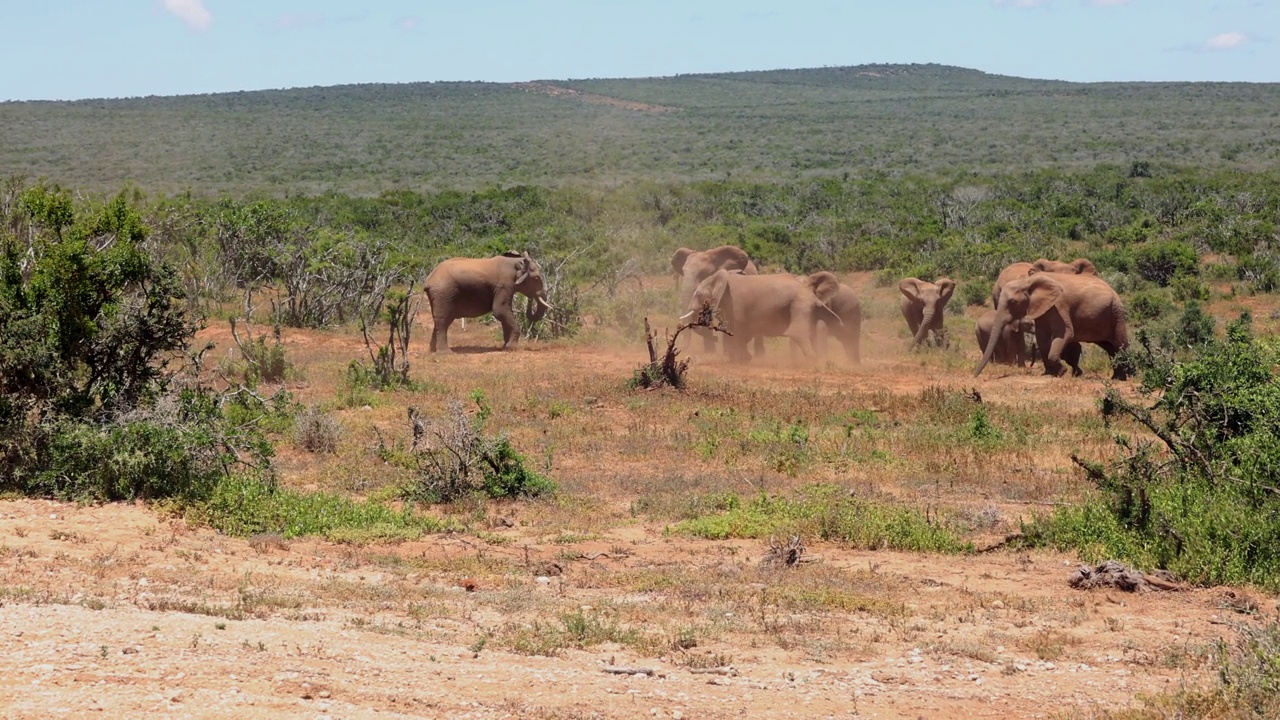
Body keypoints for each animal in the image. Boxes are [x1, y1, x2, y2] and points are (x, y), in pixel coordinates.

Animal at [424, 251, 555, 351]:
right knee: (443, 320)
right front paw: (511, 348)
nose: (531, 297)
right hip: (443, 293)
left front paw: (505, 347)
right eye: (536, 278)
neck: (515, 262)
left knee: (438, 321)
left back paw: (432, 350)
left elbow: (504, 312)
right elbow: (500, 311)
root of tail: (428, 280)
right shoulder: (504, 285)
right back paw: (445, 353)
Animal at [972, 270, 1126, 381]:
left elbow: (1065, 333)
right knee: (1109, 347)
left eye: (1012, 302)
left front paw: (1061, 372)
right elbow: (1043, 338)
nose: (974, 376)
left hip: (1116, 313)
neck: (1027, 281)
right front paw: (1049, 374)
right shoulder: (1042, 308)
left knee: (1120, 345)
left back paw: (1123, 378)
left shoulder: (1059, 305)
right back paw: (1115, 377)